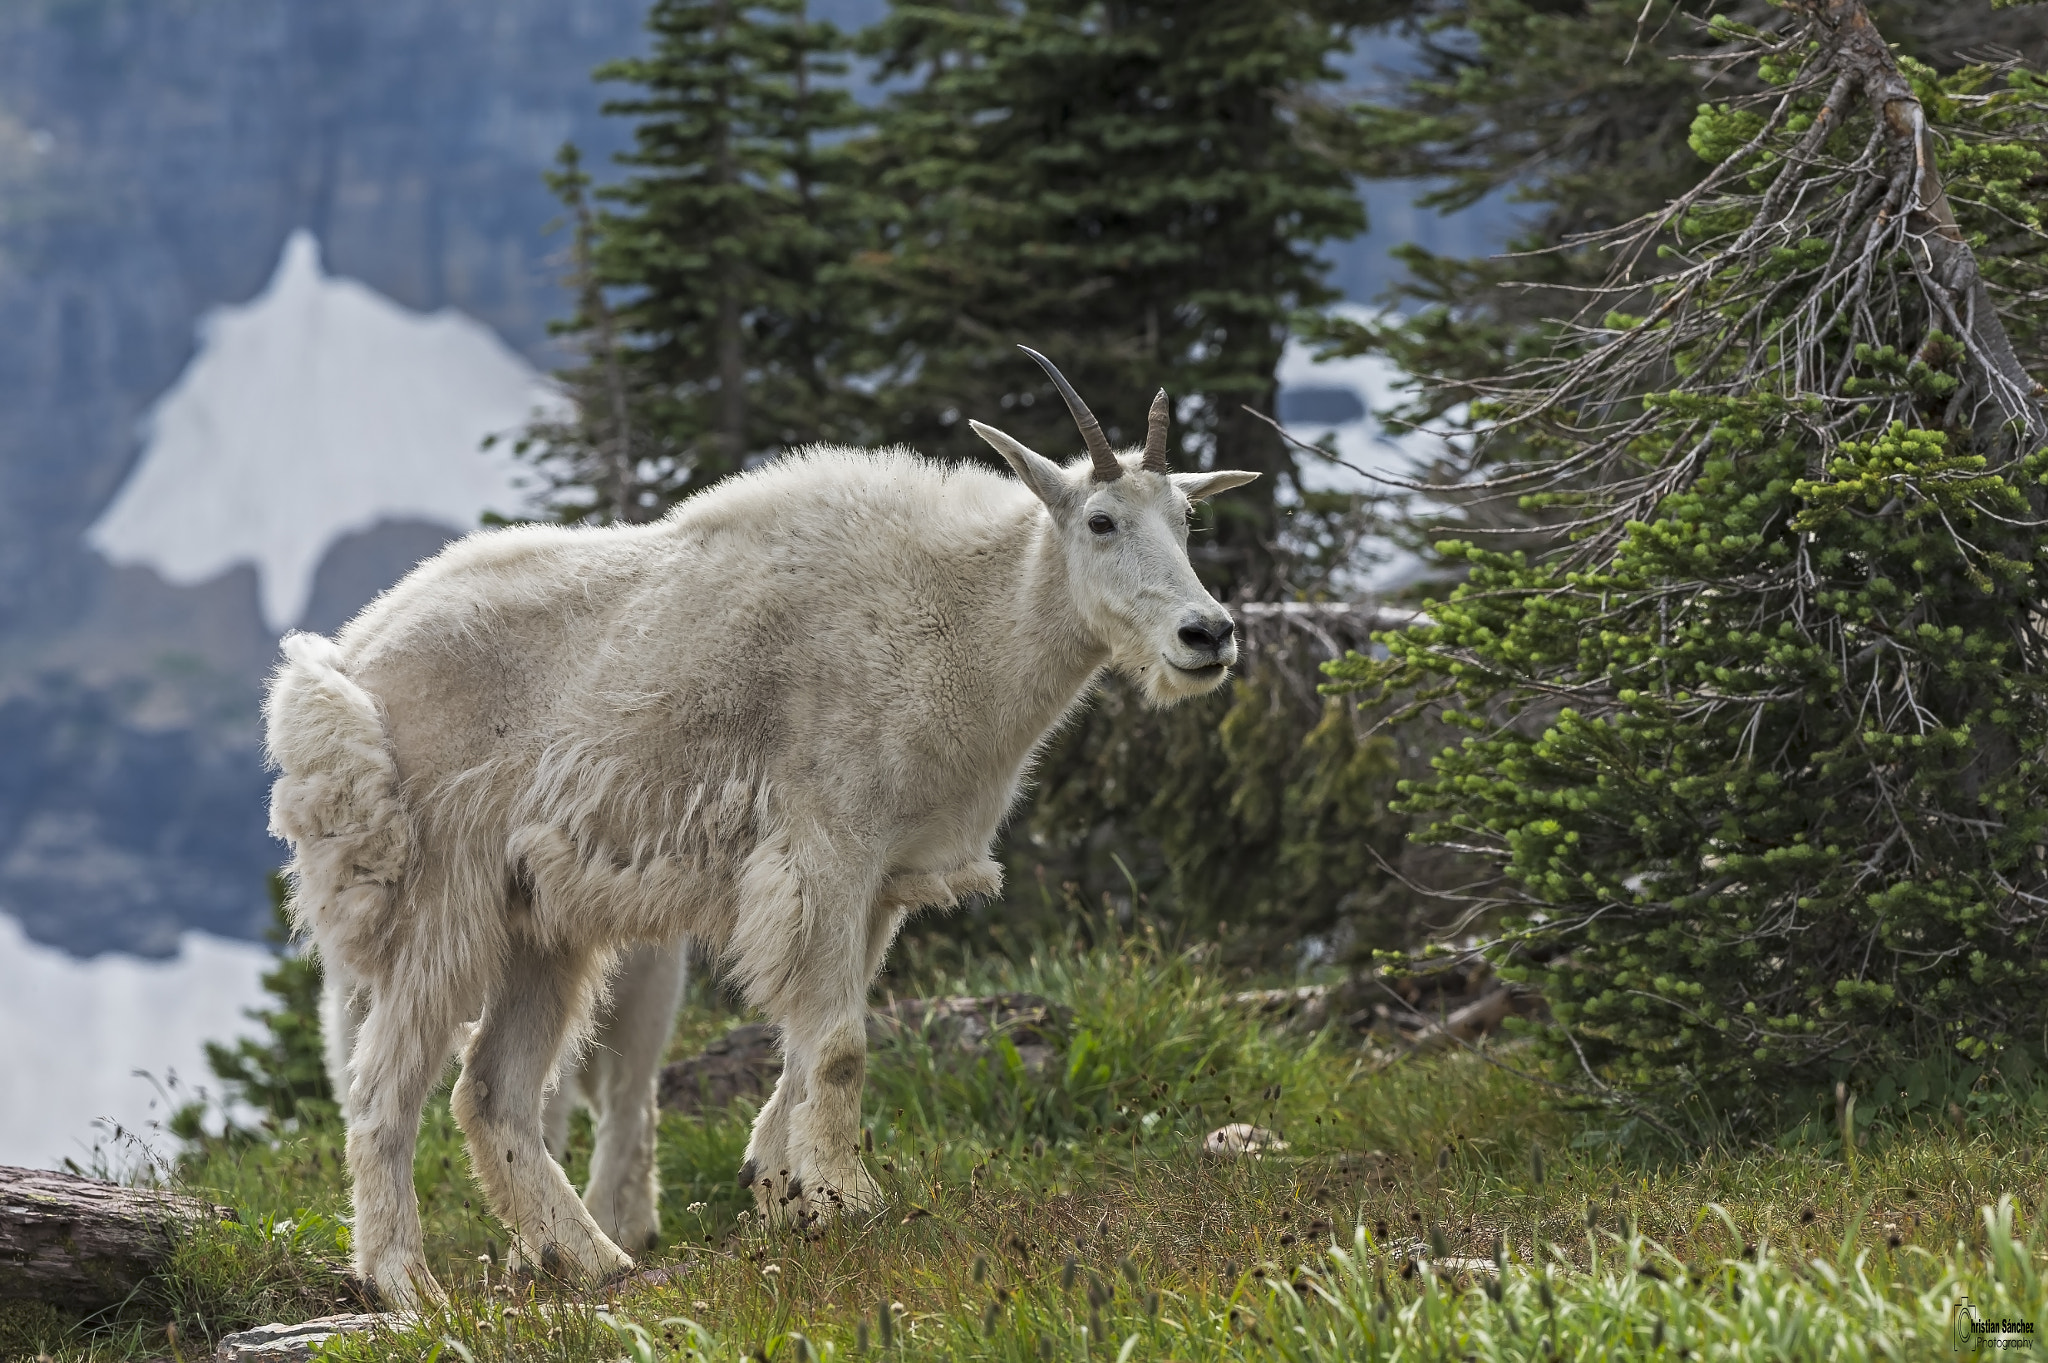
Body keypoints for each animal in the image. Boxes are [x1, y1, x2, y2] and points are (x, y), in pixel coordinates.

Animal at [264, 349, 1256, 1305]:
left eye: (1187, 519)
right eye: (1101, 521)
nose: (1208, 634)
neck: (966, 623)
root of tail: (349, 668)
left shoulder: (882, 881)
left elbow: (811, 1049)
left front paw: (785, 1190)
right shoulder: (827, 849)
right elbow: (843, 1046)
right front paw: (851, 1199)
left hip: (540, 923)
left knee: (493, 1091)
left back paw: (588, 1259)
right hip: (441, 894)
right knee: (384, 1086)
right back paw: (404, 1278)